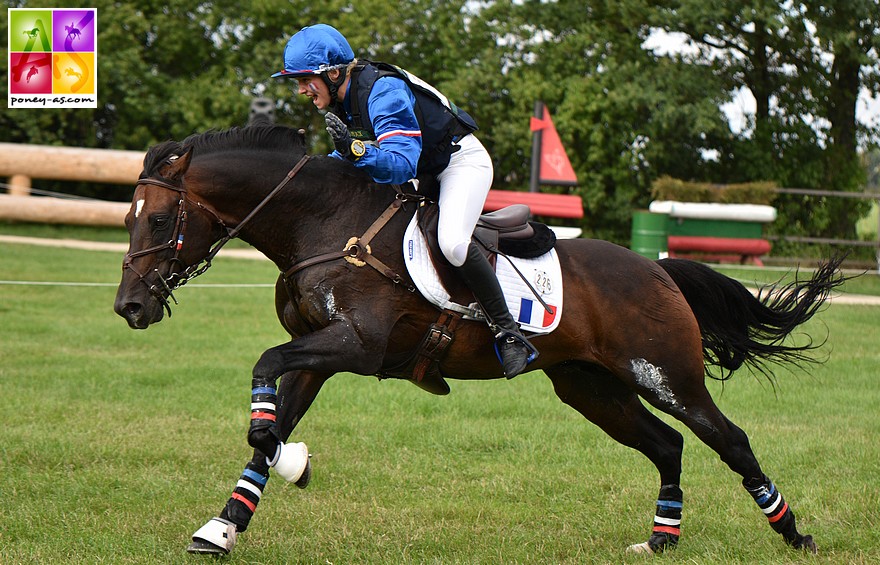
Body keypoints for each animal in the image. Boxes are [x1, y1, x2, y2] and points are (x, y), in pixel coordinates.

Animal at [113, 124, 844, 556]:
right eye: (126, 218)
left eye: (158, 219)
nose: (129, 306)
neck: (324, 223)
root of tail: (656, 267)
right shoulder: (318, 352)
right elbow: (269, 422)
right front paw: (224, 525)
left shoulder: (359, 345)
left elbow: (265, 378)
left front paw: (283, 456)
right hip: (591, 387)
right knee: (667, 445)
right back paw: (662, 539)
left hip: (665, 375)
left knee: (729, 439)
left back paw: (794, 532)